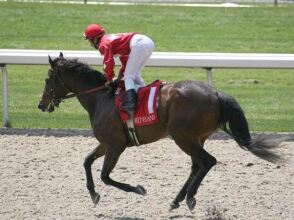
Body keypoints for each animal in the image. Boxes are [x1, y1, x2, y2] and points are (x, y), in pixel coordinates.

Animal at [38, 52, 284, 211]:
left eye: (48, 79)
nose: (41, 104)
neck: (100, 98)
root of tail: (216, 93)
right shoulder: (106, 143)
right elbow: (87, 161)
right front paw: (93, 194)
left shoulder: (116, 145)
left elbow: (105, 176)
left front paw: (138, 189)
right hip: (196, 137)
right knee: (197, 164)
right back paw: (177, 200)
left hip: (183, 136)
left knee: (208, 161)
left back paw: (189, 198)